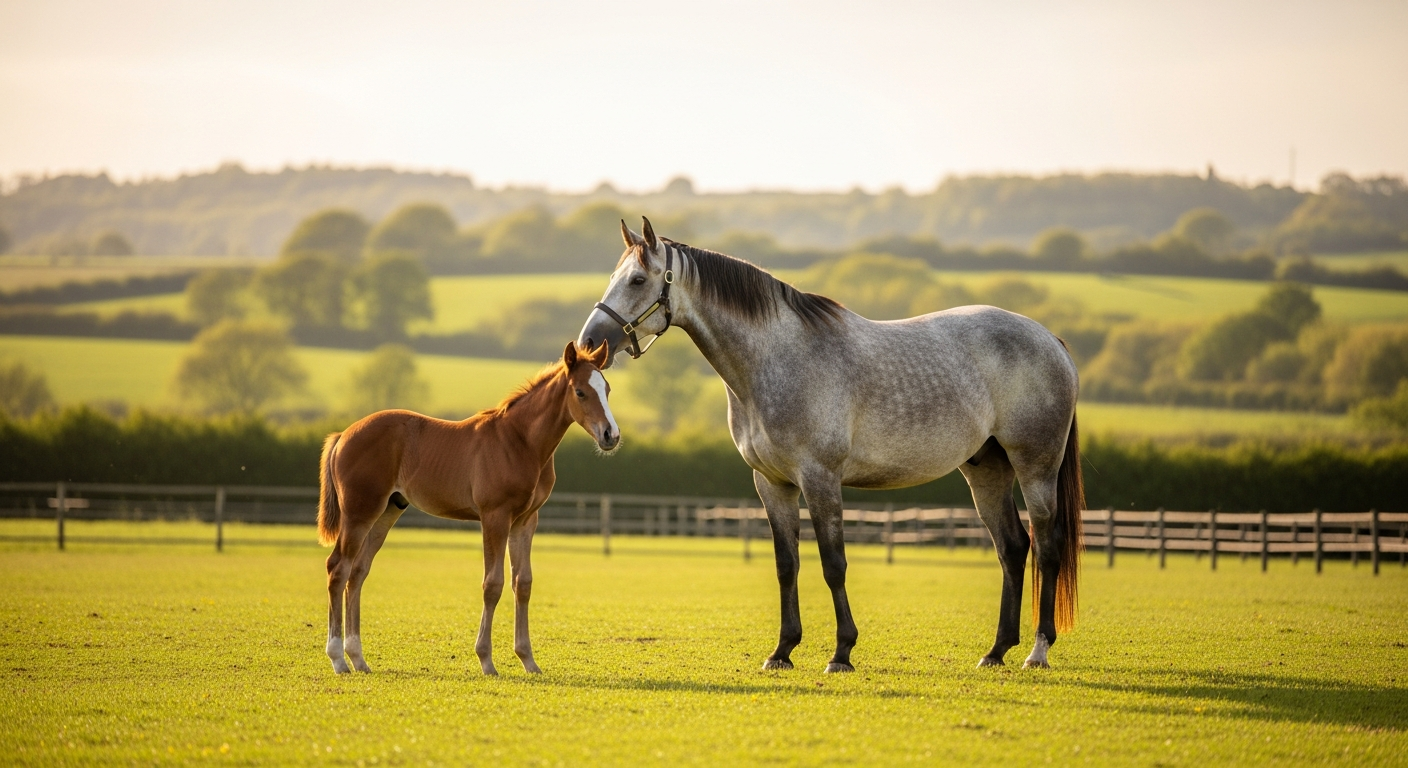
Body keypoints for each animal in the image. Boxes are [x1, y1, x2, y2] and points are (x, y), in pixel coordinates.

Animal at [316, 341, 618, 675]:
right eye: (580, 392)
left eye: (606, 388)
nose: (611, 435)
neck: (520, 442)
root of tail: (342, 436)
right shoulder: (494, 516)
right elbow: (493, 584)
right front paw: (486, 660)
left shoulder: (525, 520)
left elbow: (523, 583)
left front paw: (528, 660)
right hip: (359, 512)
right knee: (338, 568)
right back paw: (338, 659)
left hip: (387, 512)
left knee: (357, 572)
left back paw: (358, 658)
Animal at [578, 219, 1083, 672]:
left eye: (638, 280)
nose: (588, 343)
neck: (775, 361)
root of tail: (1051, 341)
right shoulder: (772, 484)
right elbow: (787, 565)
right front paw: (782, 651)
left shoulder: (820, 479)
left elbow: (832, 563)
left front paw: (841, 653)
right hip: (986, 470)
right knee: (1013, 548)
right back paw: (996, 651)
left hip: (1036, 467)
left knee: (1047, 545)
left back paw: (1037, 651)